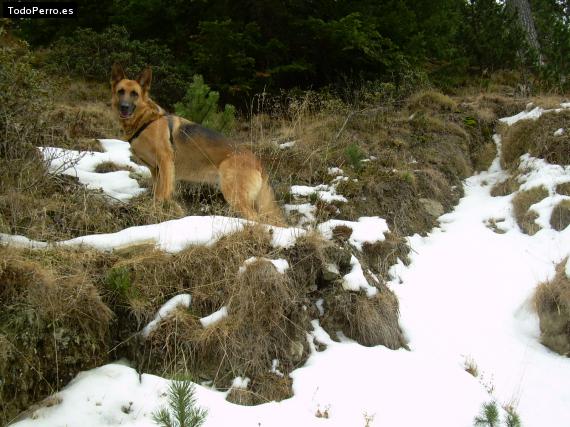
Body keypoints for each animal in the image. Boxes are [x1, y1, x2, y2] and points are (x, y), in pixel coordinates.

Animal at [110, 65, 282, 226]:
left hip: (234, 194)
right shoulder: (156, 170)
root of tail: (257, 162)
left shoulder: (165, 163)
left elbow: (163, 194)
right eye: (121, 91)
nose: (124, 107)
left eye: (134, 93)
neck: (146, 121)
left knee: (256, 219)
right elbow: (158, 194)